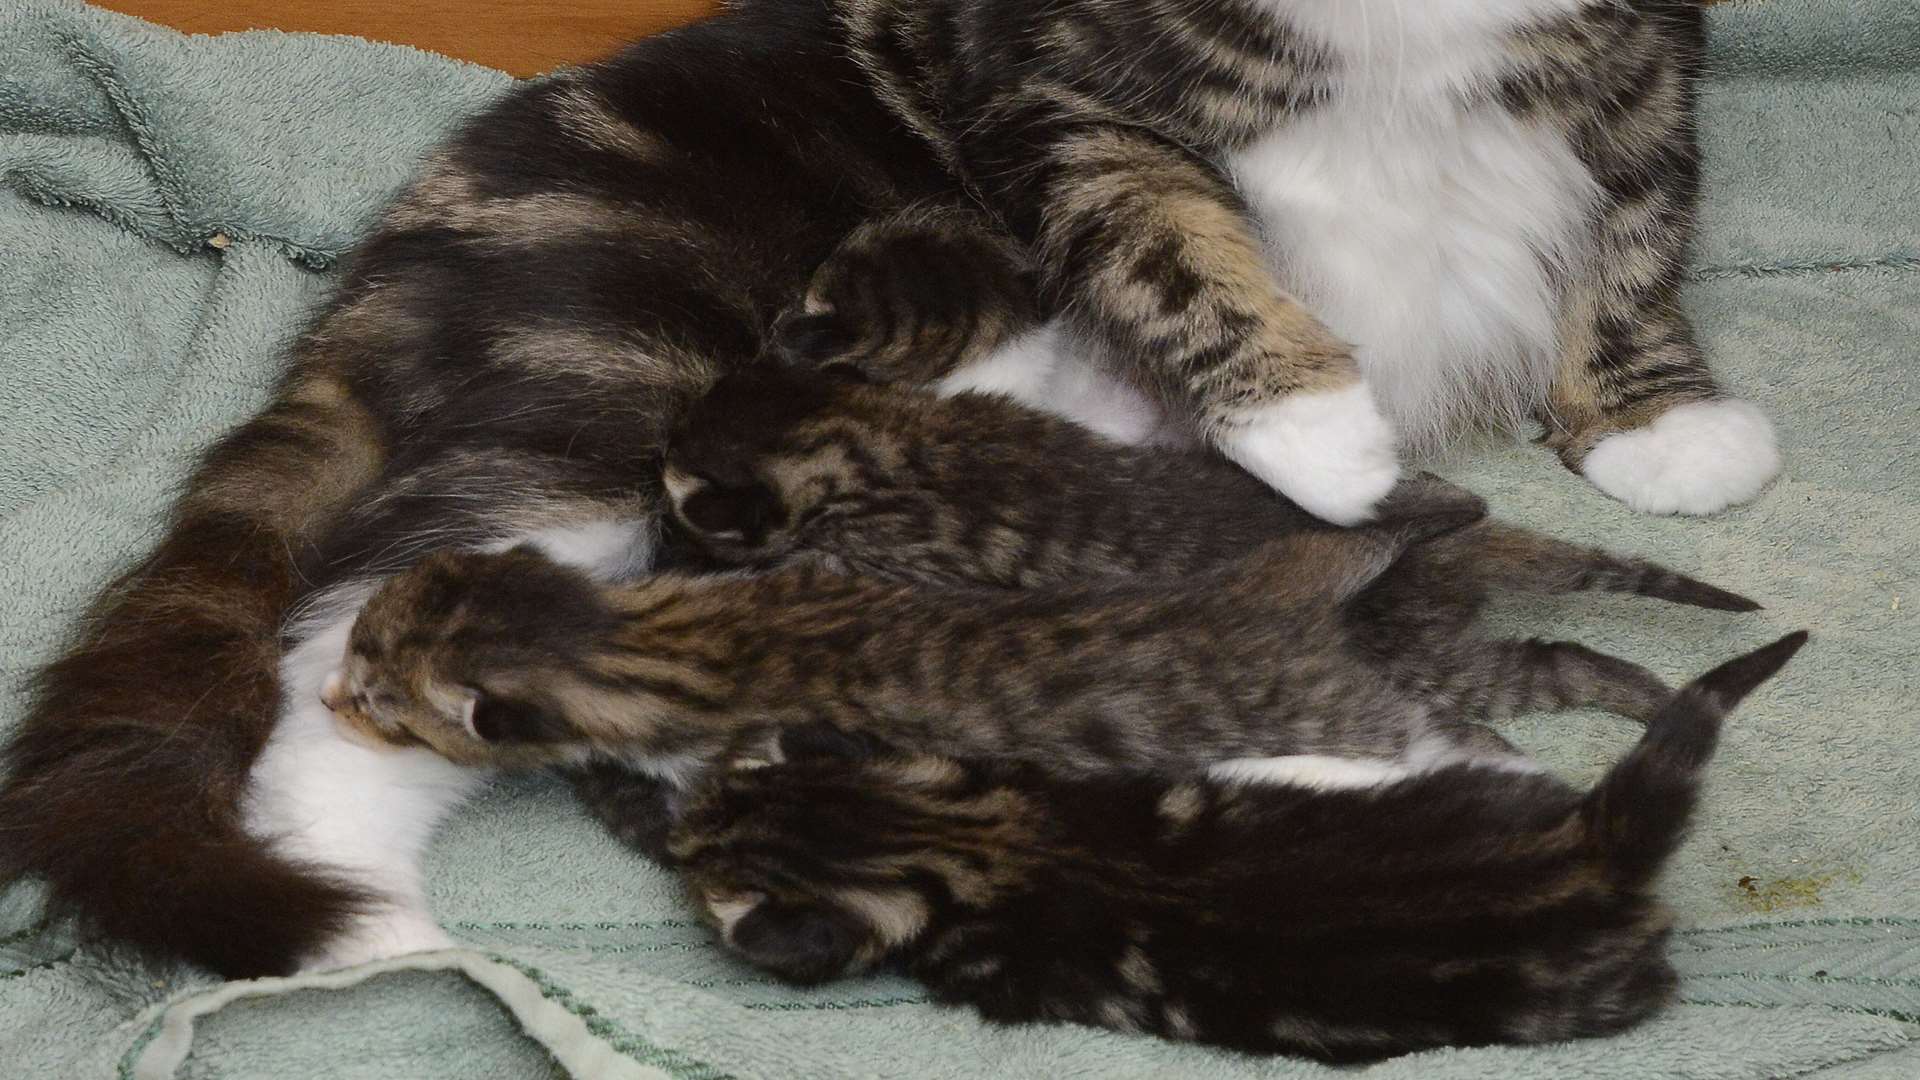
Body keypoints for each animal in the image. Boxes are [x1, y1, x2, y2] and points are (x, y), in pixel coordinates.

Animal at [0, 0, 1774, 976]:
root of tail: (395, 262)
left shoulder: (1646, 69)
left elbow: (1635, 217)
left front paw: (1653, 419)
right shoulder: (1062, 90)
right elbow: (1164, 222)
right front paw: (1315, 425)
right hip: (599, 402)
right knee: (361, 645)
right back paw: (360, 912)